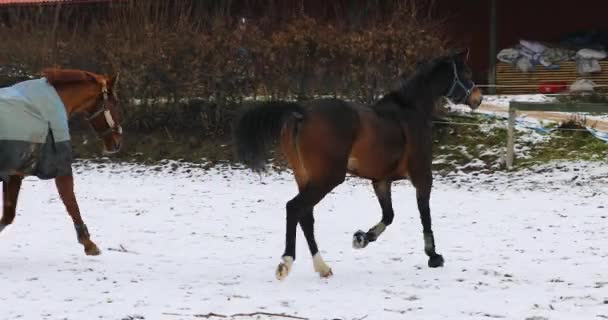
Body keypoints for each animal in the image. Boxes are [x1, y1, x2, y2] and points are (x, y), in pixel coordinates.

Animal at [0, 69, 122, 256]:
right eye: (114, 102)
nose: (117, 142)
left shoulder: (14, 175)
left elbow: (7, 216)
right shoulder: (61, 168)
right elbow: (71, 202)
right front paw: (88, 244)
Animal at [234, 48, 484, 278]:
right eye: (466, 72)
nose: (478, 98)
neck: (411, 110)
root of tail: (303, 112)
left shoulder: (381, 180)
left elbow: (389, 215)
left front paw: (362, 238)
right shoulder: (422, 176)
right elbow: (425, 214)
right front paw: (434, 256)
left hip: (305, 176)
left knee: (305, 216)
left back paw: (322, 267)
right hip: (328, 178)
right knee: (294, 208)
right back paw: (286, 263)